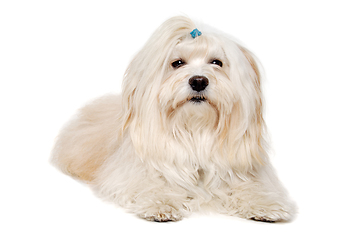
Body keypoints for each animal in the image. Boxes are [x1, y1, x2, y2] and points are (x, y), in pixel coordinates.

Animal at [52, 15, 296, 222]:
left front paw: (265, 204)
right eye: (177, 63)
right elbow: (150, 184)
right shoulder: (134, 172)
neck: (195, 130)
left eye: (216, 62)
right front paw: (161, 203)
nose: (198, 81)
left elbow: (251, 187)